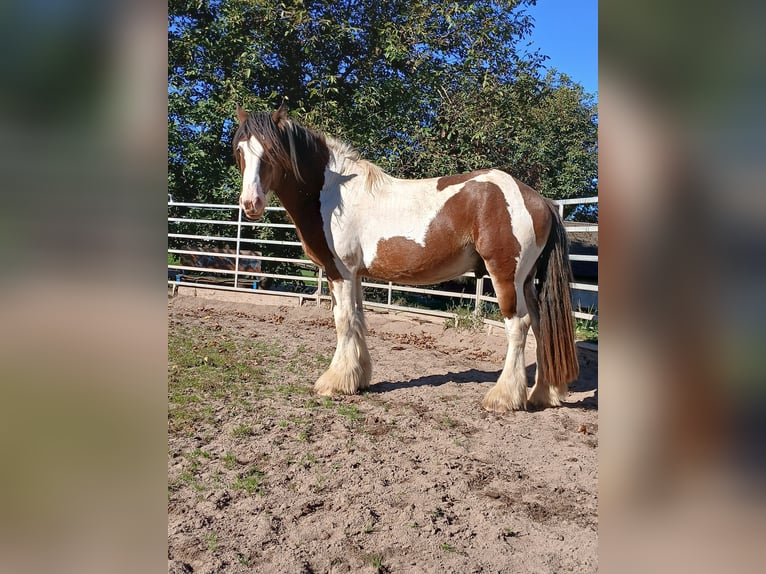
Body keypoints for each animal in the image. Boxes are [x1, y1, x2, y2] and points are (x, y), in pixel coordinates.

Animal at [231, 106, 580, 412]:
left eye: (272, 151)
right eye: (239, 151)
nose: (251, 203)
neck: (332, 195)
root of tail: (539, 200)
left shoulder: (340, 272)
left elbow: (343, 320)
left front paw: (334, 382)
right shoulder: (356, 274)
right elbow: (358, 320)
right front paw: (358, 379)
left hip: (506, 276)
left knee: (518, 325)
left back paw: (504, 398)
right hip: (527, 282)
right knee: (541, 326)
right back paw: (543, 393)